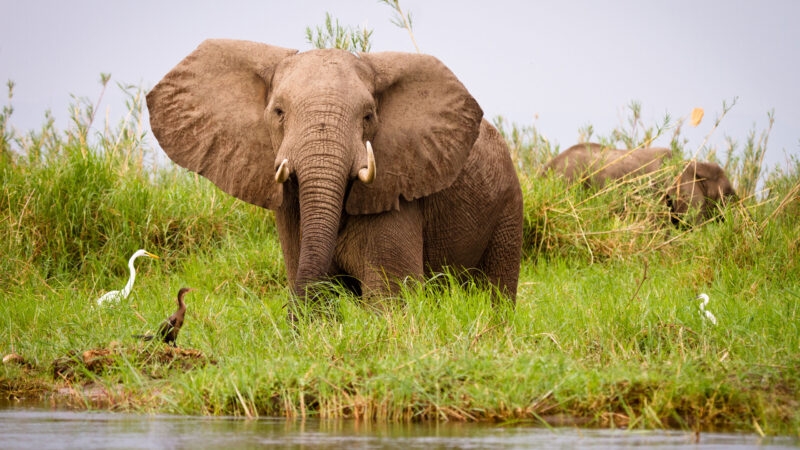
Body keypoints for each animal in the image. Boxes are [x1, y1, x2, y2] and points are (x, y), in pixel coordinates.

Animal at [146, 39, 524, 313]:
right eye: (278, 112)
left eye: (368, 116)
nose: (291, 319)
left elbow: (390, 295)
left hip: (509, 207)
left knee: (497, 290)